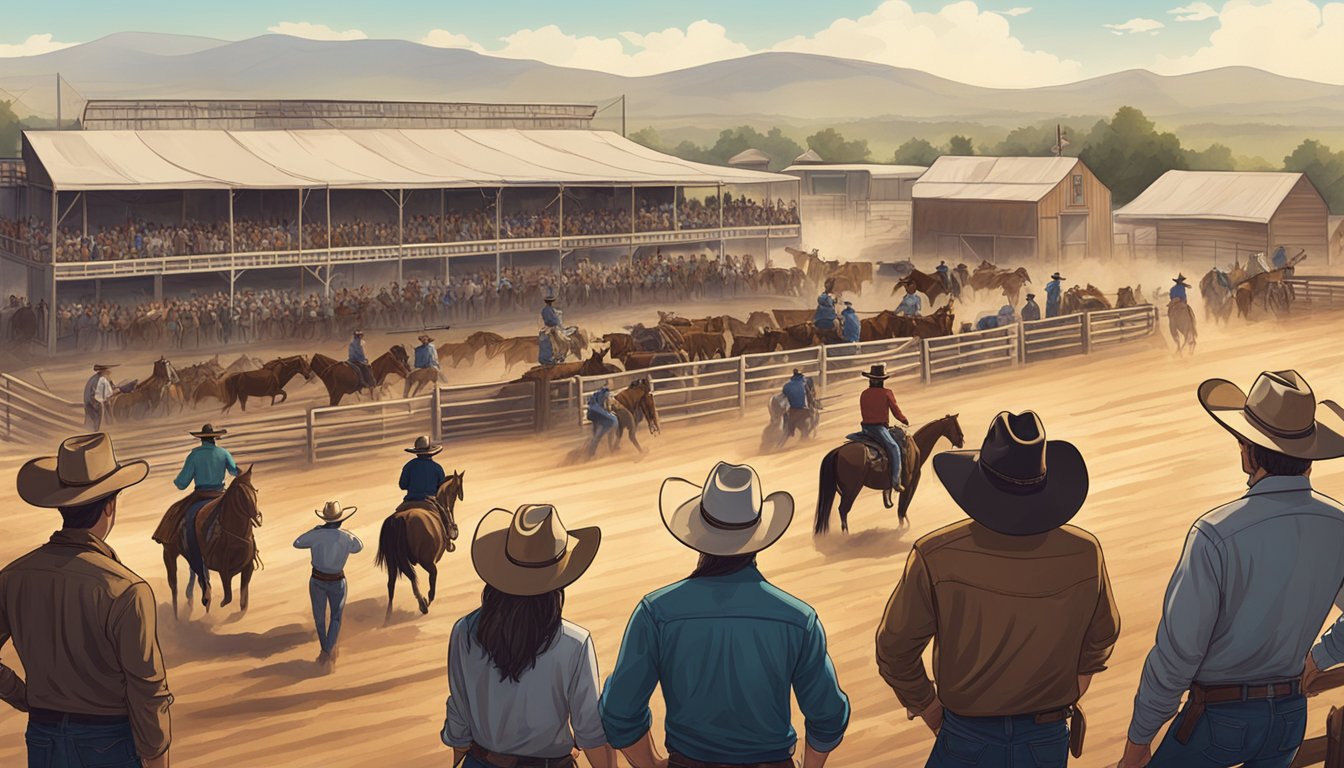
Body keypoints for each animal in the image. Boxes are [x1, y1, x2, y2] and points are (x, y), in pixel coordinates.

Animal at [159, 462, 262, 618]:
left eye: (254, 491)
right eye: (240, 494)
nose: (256, 515)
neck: (235, 536)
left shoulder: (247, 568)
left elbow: (243, 599)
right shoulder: (223, 571)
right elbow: (228, 596)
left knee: (195, 574)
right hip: (169, 553)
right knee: (174, 586)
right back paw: (179, 613)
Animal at [376, 470, 465, 621]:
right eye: (456, 490)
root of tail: (400, 518)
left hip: (392, 561)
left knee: (392, 584)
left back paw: (388, 616)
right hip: (426, 561)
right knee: (428, 576)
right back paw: (424, 604)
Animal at [806, 414, 967, 535]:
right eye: (955, 426)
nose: (961, 441)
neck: (916, 449)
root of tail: (838, 451)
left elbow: (901, 505)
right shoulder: (911, 483)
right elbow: (903, 505)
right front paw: (903, 525)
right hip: (851, 490)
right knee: (843, 510)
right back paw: (846, 535)